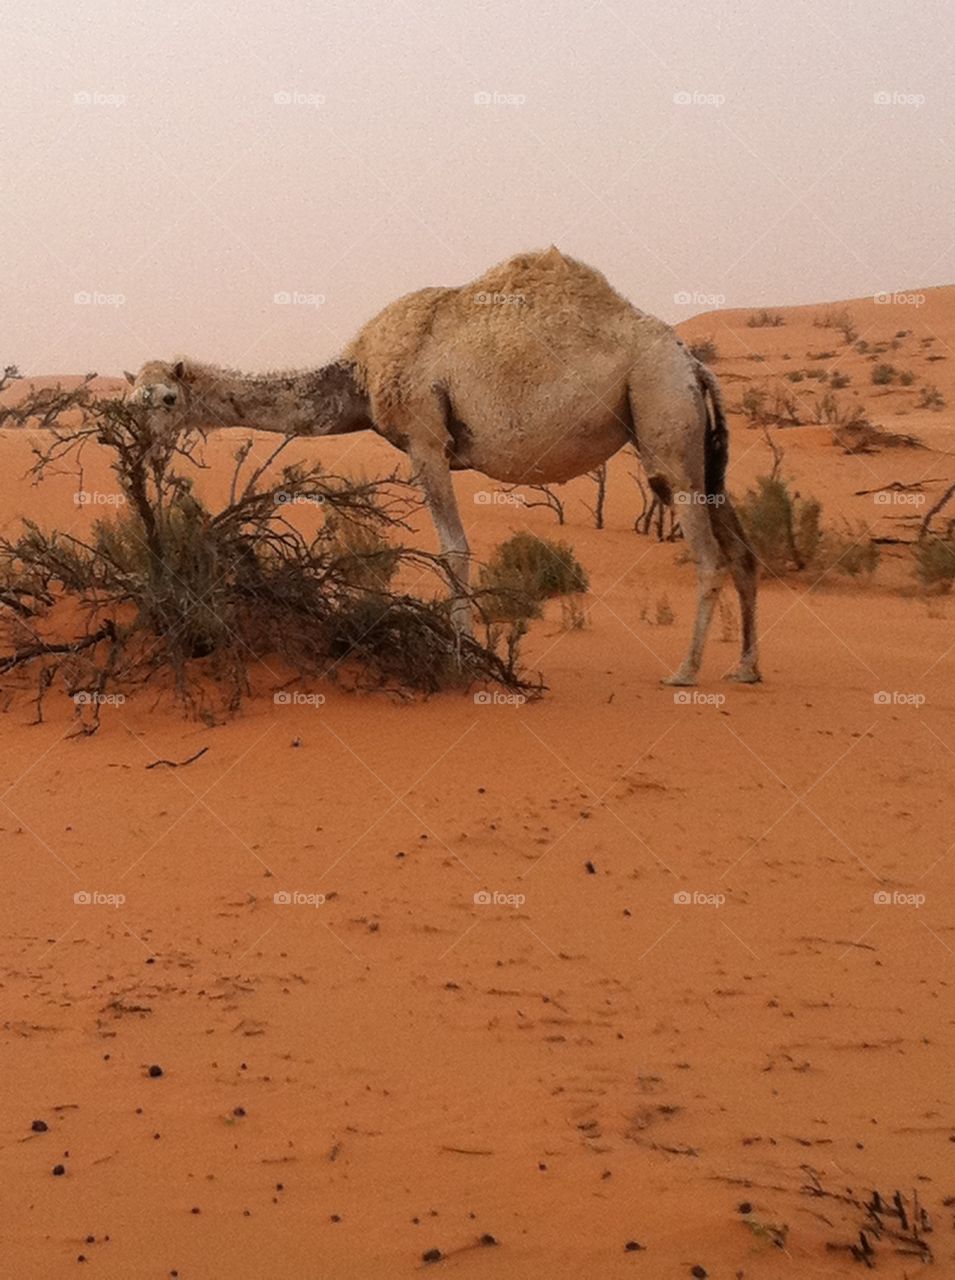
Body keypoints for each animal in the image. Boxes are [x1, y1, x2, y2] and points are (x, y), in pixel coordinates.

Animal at [128, 245, 757, 686]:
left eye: (168, 399)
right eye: (132, 399)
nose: (143, 448)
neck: (359, 376)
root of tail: (693, 363)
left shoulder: (425, 438)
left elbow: (453, 549)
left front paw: (463, 659)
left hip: (661, 412)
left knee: (708, 554)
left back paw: (685, 672)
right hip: (700, 448)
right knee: (742, 549)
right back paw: (745, 667)